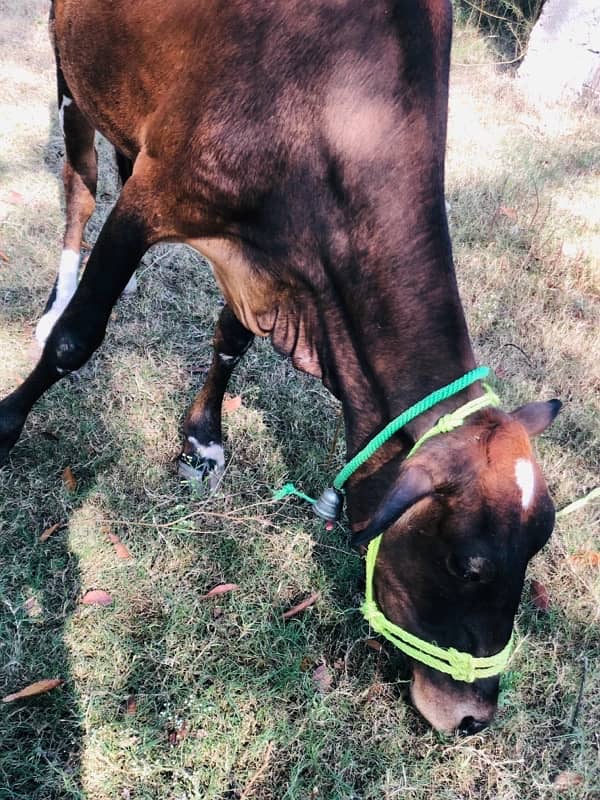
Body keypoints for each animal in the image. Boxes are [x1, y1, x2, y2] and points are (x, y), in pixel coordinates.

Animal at [1, 0, 564, 736]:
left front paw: (204, 438)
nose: (475, 716)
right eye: (466, 565)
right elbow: (77, 339)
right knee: (80, 187)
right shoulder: (157, 194)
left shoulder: (269, 262)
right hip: (70, 68)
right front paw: (6, 421)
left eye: (535, 551)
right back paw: (58, 294)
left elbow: (231, 338)